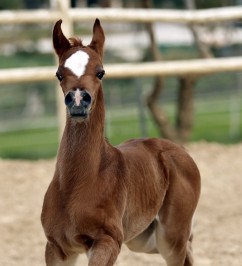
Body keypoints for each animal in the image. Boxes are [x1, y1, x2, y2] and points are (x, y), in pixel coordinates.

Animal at [41, 19, 200, 266]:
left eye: (101, 72)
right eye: (59, 74)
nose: (78, 101)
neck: (77, 183)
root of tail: (178, 150)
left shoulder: (108, 242)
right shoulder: (56, 248)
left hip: (171, 238)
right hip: (144, 240)